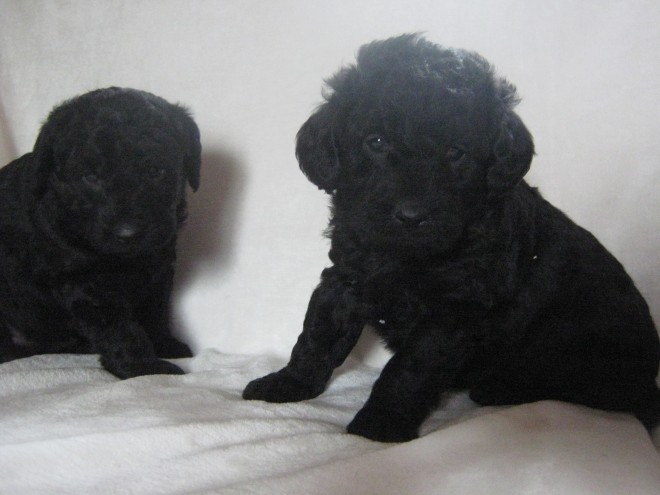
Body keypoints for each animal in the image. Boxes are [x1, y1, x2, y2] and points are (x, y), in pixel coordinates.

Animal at [0, 86, 201, 380]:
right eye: (90, 177)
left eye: (155, 171)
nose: (127, 233)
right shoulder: (85, 285)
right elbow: (121, 328)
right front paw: (142, 366)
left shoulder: (159, 266)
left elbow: (155, 310)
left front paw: (165, 344)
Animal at [244, 36, 660, 444]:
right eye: (375, 141)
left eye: (455, 152)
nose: (411, 216)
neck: (404, 257)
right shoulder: (347, 276)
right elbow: (318, 334)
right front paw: (287, 383)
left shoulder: (456, 308)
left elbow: (409, 368)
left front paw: (380, 422)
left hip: (573, 346)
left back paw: (498, 389)